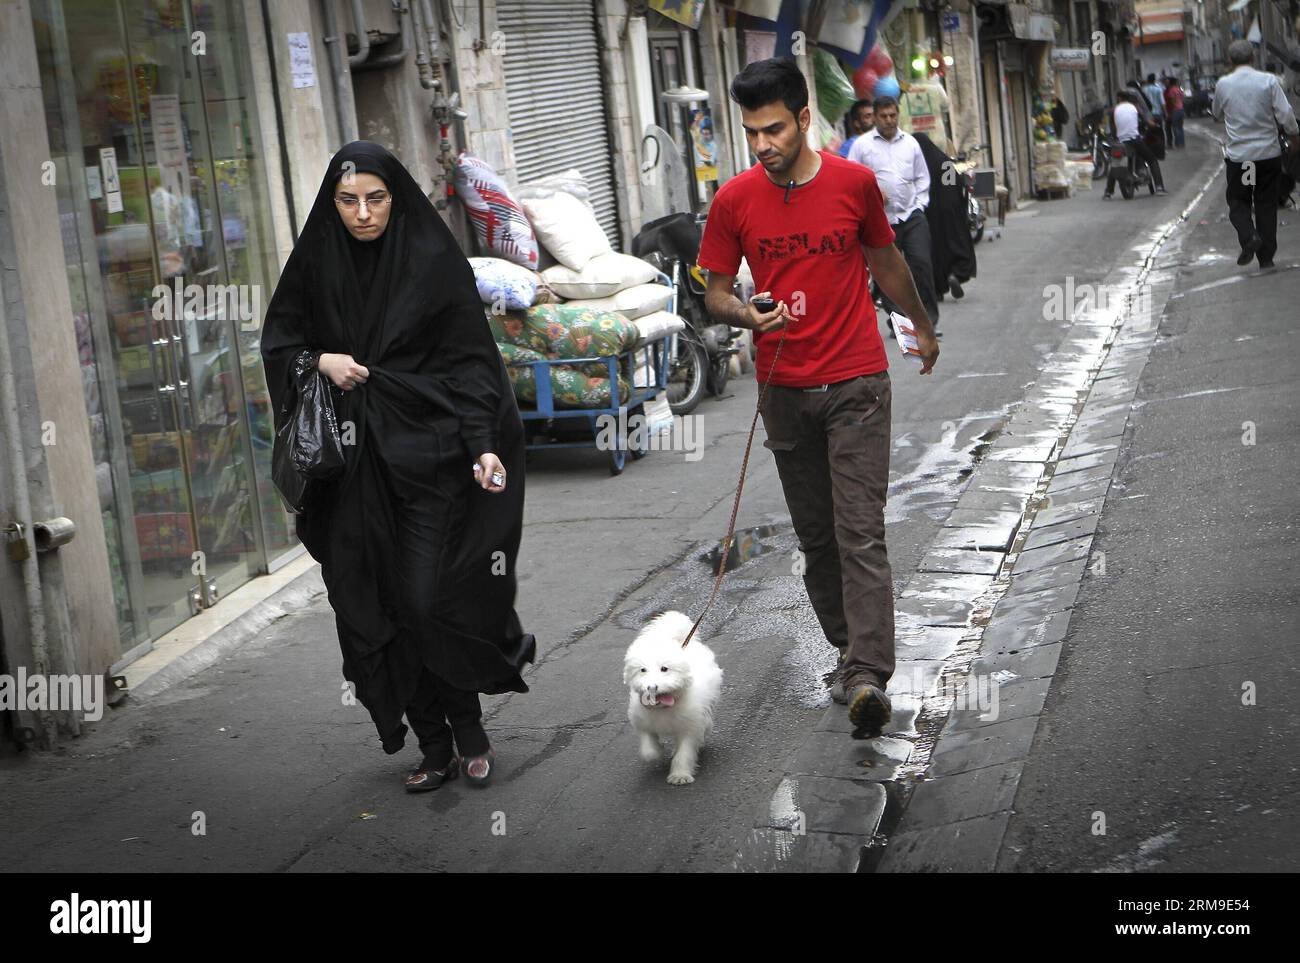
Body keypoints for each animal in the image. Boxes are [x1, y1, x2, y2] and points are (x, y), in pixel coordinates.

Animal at [624, 613, 728, 784]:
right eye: (642, 670)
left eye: (664, 669)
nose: (652, 687)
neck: (662, 709)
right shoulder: (643, 722)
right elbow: (648, 747)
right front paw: (656, 752)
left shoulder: (689, 728)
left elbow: (684, 753)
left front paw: (680, 776)